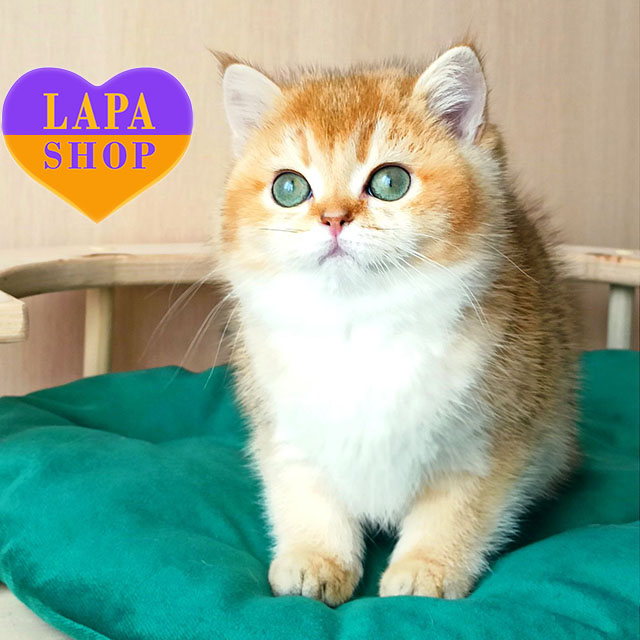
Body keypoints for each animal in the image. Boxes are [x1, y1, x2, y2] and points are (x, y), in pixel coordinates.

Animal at [213, 44, 579, 606]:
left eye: (391, 182)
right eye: (289, 187)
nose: (333, 218)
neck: (361, 322)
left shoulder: (489, 440)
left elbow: (457, 511)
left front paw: (426, 569)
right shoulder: (286, 430)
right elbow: (306, 496)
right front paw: (316, 560)